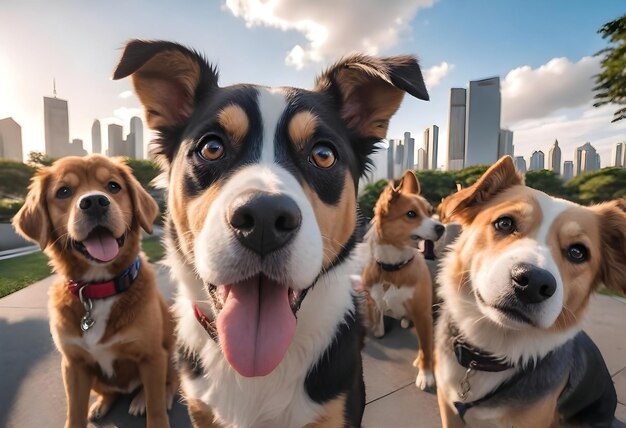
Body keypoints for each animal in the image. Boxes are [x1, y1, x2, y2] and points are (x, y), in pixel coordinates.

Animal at [12, 155, 178, 428]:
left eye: (113, 186)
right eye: (63, 191)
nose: (94, 202)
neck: (99, 290)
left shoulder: (152, 356)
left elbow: (156, 410)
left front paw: (153, 406)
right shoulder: (73, 365)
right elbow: (74, 414)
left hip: (170, 356)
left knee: (167, 384)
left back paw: (143, 399)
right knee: (110, 392)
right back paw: (101, 405)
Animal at [358, 171, 442, 392]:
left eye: (430, 211)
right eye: (411, 214)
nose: (441, 227)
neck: (393, 268)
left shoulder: (422, 315)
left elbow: (425, 349)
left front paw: (425, 375)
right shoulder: (373, 301)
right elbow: (378, 326)